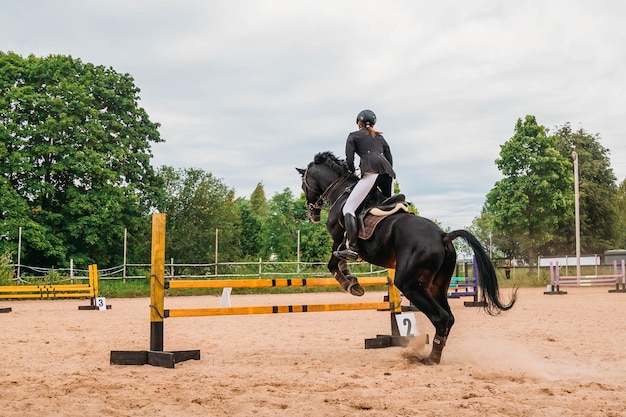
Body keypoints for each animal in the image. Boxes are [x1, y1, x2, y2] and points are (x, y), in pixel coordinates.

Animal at [294, 150, 516, 364]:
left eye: (304, 185)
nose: (312, 215)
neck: (342, 191)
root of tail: (443, 236)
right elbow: (339, 262)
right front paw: (353, 281)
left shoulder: (338, 239)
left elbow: (334, 263)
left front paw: (351, 285)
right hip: (436, 286)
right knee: (449, 318)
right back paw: (433, 355)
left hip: (408, 283)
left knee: (441, 317)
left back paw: (429, 359)